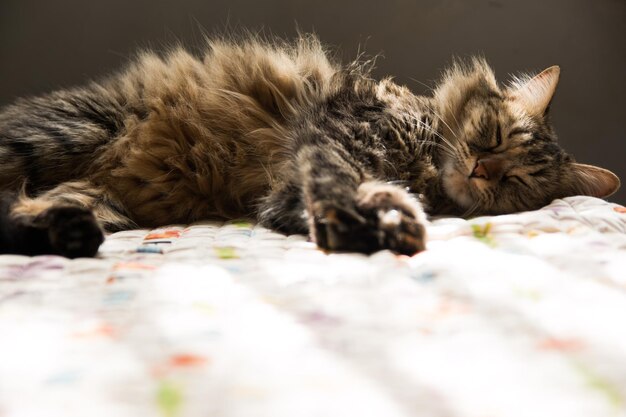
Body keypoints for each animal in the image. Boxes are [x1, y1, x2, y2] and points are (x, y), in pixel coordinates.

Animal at [0, 35, 616, 256]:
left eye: (516, 181)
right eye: (492, 136)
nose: (484, 170)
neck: (420, 164)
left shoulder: (280, 194)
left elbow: (307, 205)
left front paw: (386, 223)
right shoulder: (336, 130)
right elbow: (333, 181)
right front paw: (355, 225)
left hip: (102, 199)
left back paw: (64, 233)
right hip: (71, 133)